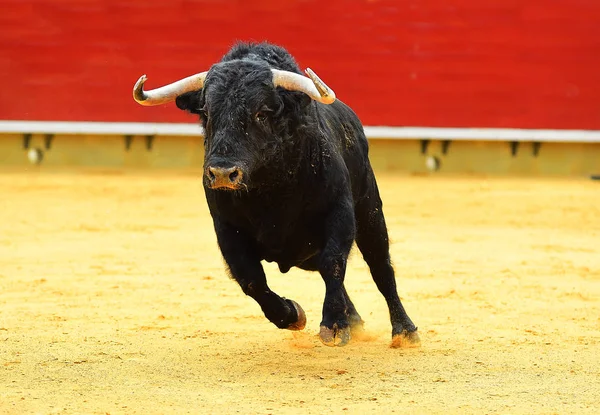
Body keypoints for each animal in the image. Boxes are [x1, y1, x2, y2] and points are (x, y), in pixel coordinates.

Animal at [134, 42, 420, 348]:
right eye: (207, 113)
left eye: (261, 113)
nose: (222, 172)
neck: (270, 191)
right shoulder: (227, 229)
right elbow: (251, 280)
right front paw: (294, 315)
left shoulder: (339, 212)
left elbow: (334, 263)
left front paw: (333, 325)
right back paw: (355, 320)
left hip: (369, 211)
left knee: (381, 268)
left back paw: (404, 331)